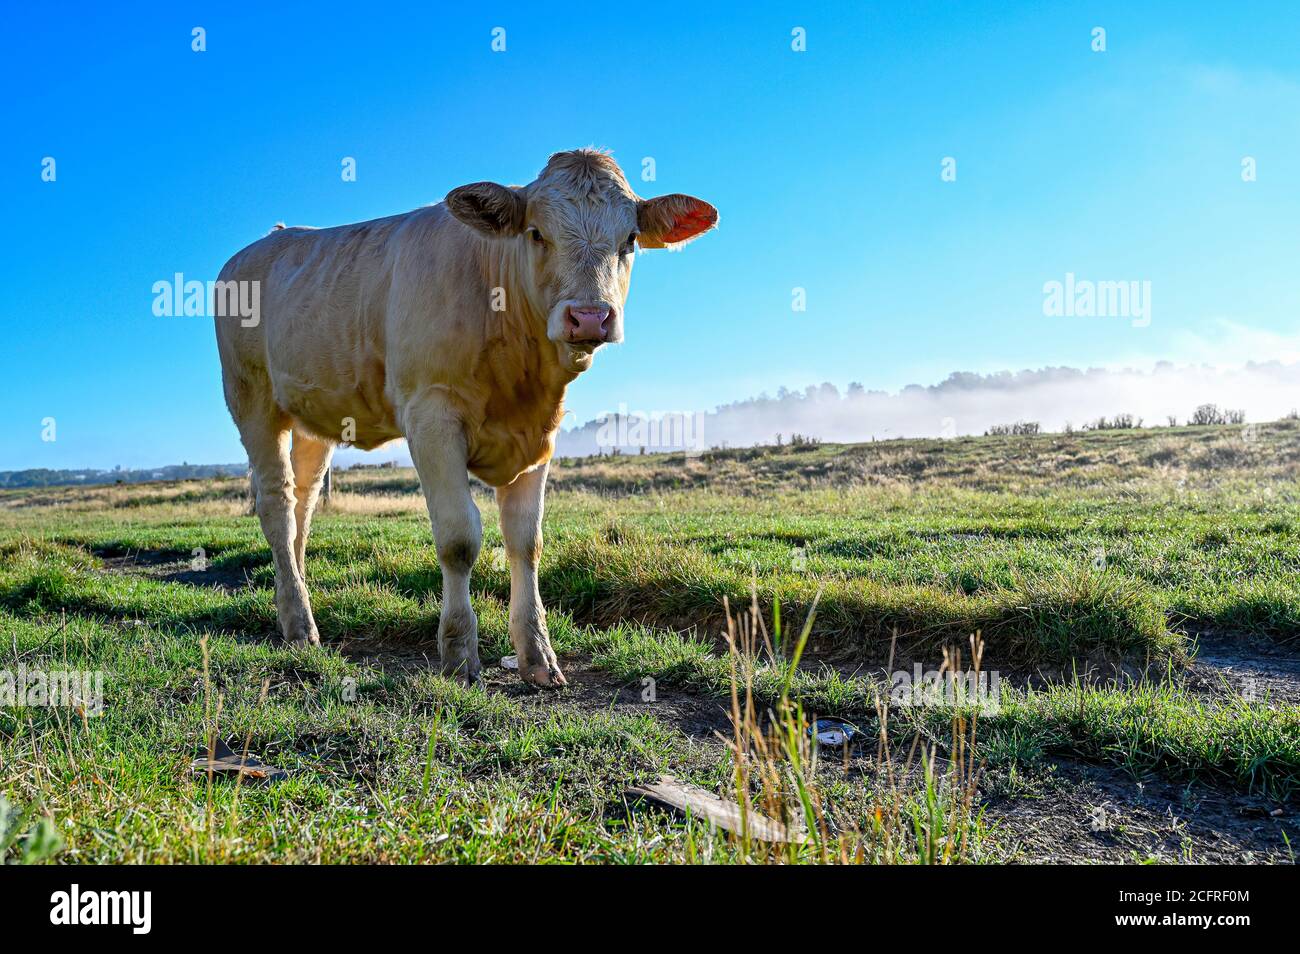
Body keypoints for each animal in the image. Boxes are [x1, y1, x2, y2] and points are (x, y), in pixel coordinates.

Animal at [214, 149, 717, 687]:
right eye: (536, 233)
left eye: (629, 240)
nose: (589, 317)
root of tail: (266, 240)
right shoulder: (431, 415)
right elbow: (459, 538)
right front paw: (458, 651)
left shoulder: (541, 434)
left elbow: (526, 541)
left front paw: (537, 654)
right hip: (252, 400)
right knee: (276, 505)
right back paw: (298, 623)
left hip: (316, 417)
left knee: (304, 503)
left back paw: (297, 601)